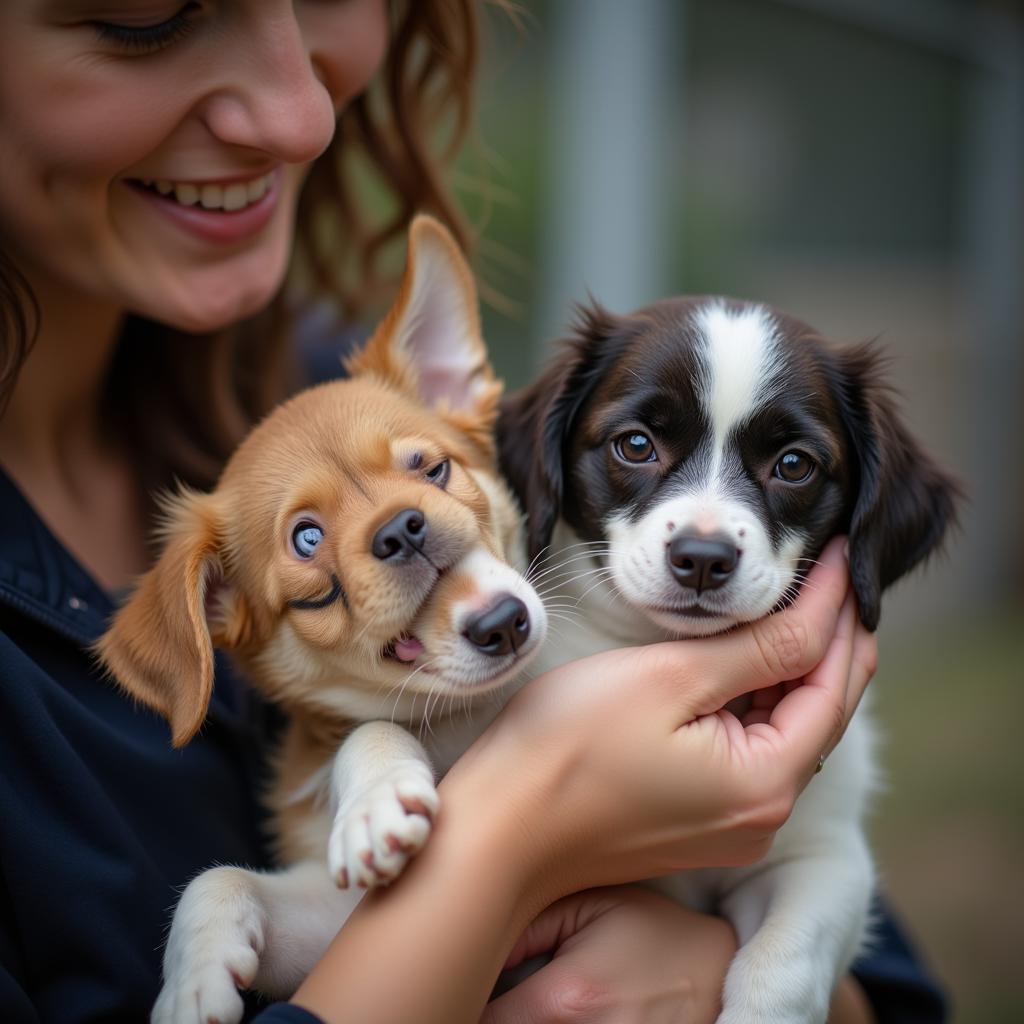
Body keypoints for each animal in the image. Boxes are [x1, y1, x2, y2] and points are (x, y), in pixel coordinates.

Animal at [96, 218, 548, 1024]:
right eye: (308, 540)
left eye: (432, 469)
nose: (401, 528)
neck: (465, 721)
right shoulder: (339, 922)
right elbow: (217, 876)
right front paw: (190, 983)